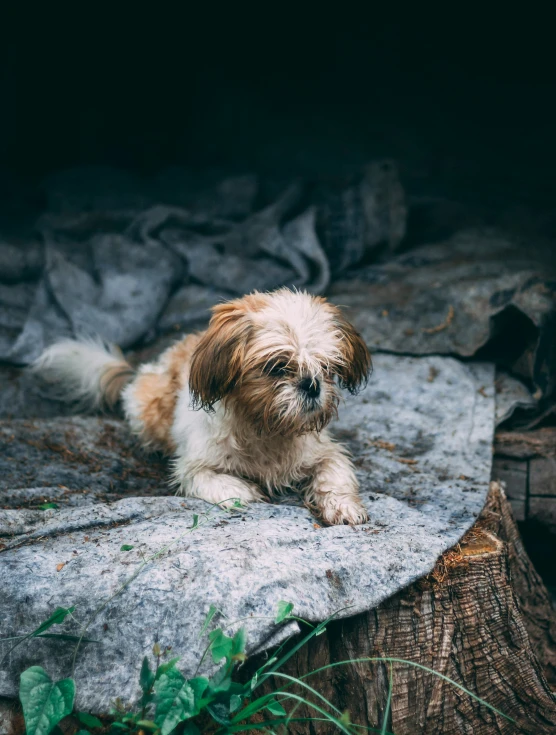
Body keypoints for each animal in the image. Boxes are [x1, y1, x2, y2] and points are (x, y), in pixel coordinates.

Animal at [35, 290, 374, 528]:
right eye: (276, 367)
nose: (311, 384)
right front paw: (243, 490)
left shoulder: (325, 451)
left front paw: (343, 506)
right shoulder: (193, 467)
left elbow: (334, 474)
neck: (265, 428)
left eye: (327, 367)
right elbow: (216, 480)